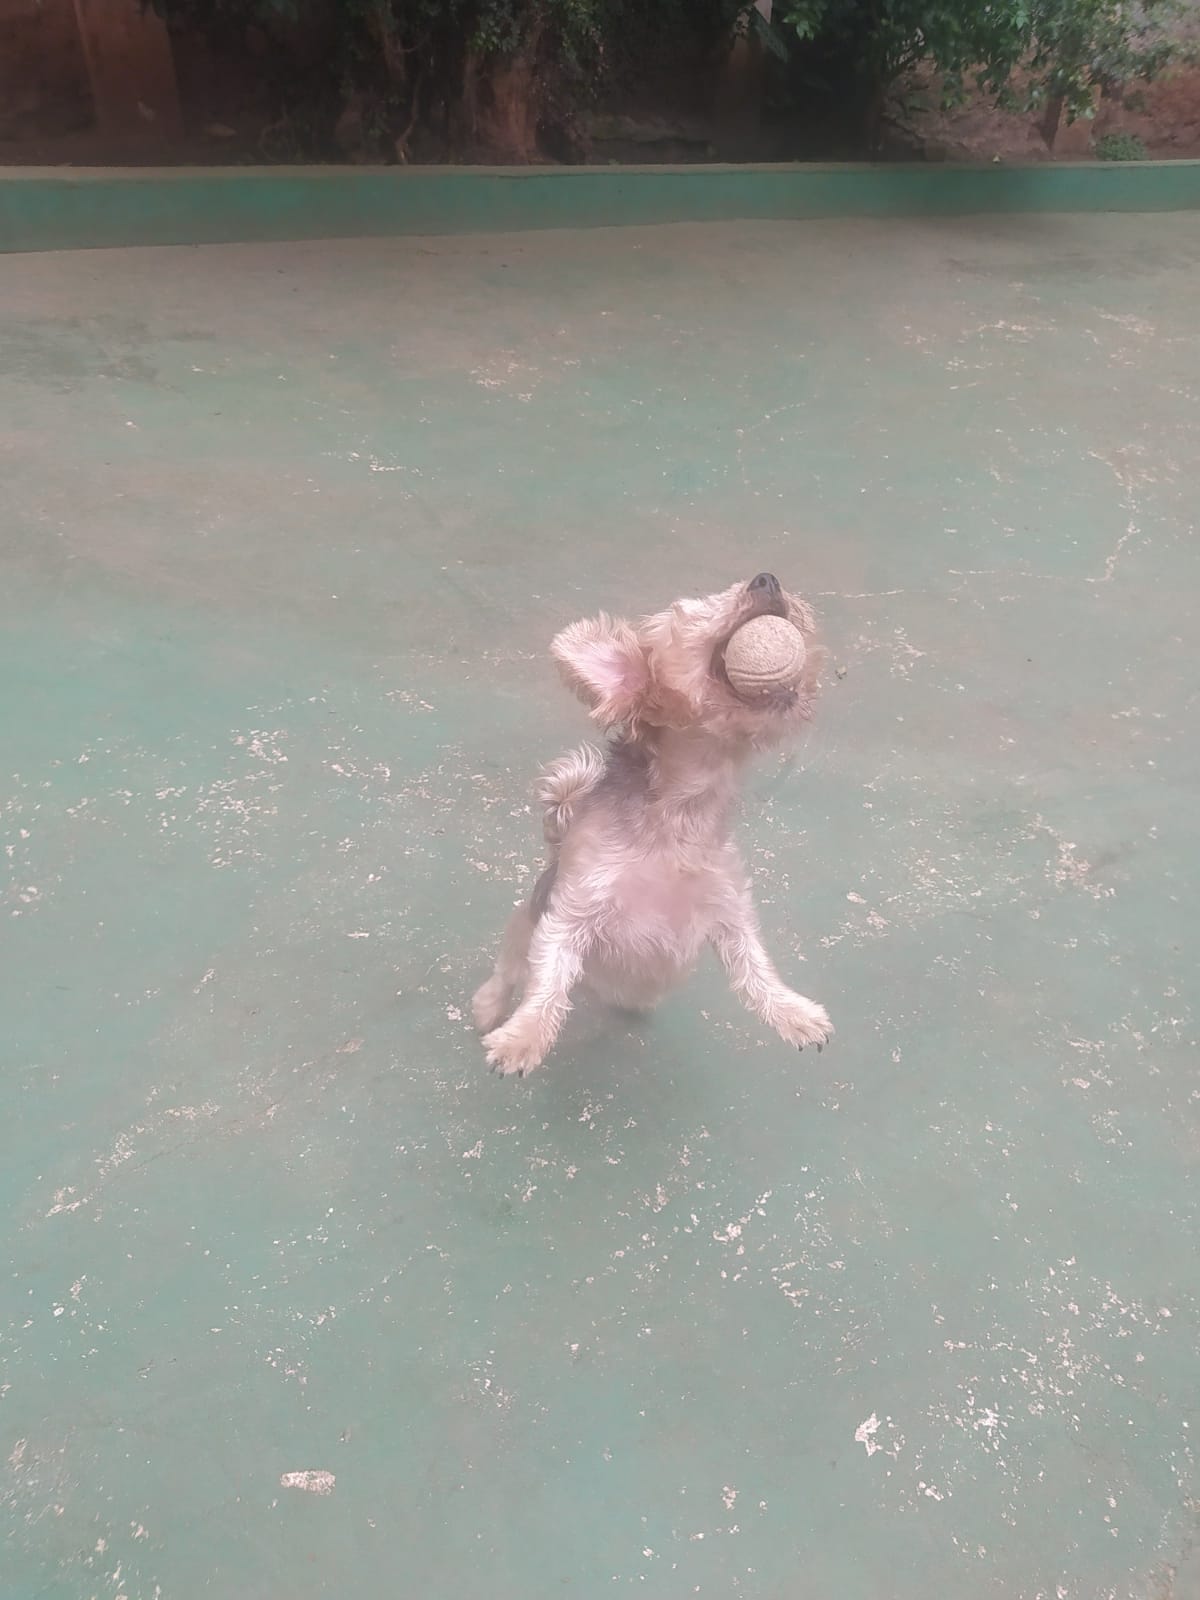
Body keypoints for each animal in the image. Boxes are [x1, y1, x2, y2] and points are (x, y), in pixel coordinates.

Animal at [472, 572, 833, 1076]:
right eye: (694, 611)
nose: (767, 579)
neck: (679, 817)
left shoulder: (729, 912)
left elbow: (755, 968)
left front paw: (794, 1013)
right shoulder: (569, 916)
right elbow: (548, 981)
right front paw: (523, 1039)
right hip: (523, 926)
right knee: (508, 971)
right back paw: (488, 1006)